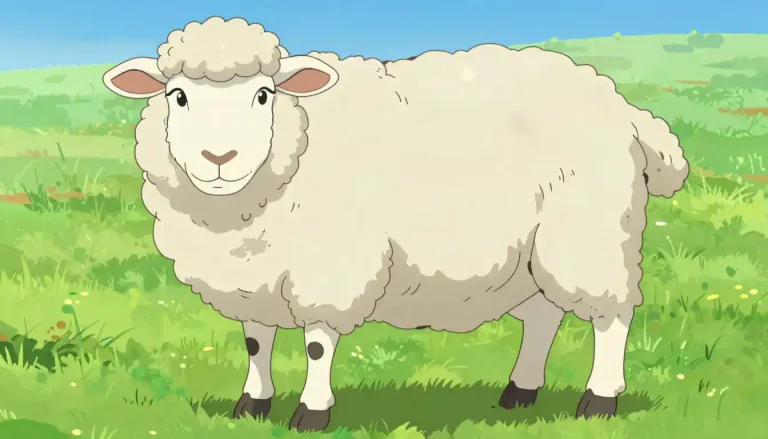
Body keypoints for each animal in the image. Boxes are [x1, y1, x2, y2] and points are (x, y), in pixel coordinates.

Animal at [102, 16, 689, 433]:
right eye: (178, 95)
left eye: (264, 94)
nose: (218, 157)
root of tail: (625, 107)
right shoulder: (253, 274)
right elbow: (255, 342)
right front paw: (251, 404)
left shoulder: (328, 268)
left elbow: (317, 346)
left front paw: (312, 413)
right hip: (535, 252)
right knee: (544, 317)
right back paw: (519, 393)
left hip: (591, 234)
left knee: (611, 317)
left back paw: (599, 400)